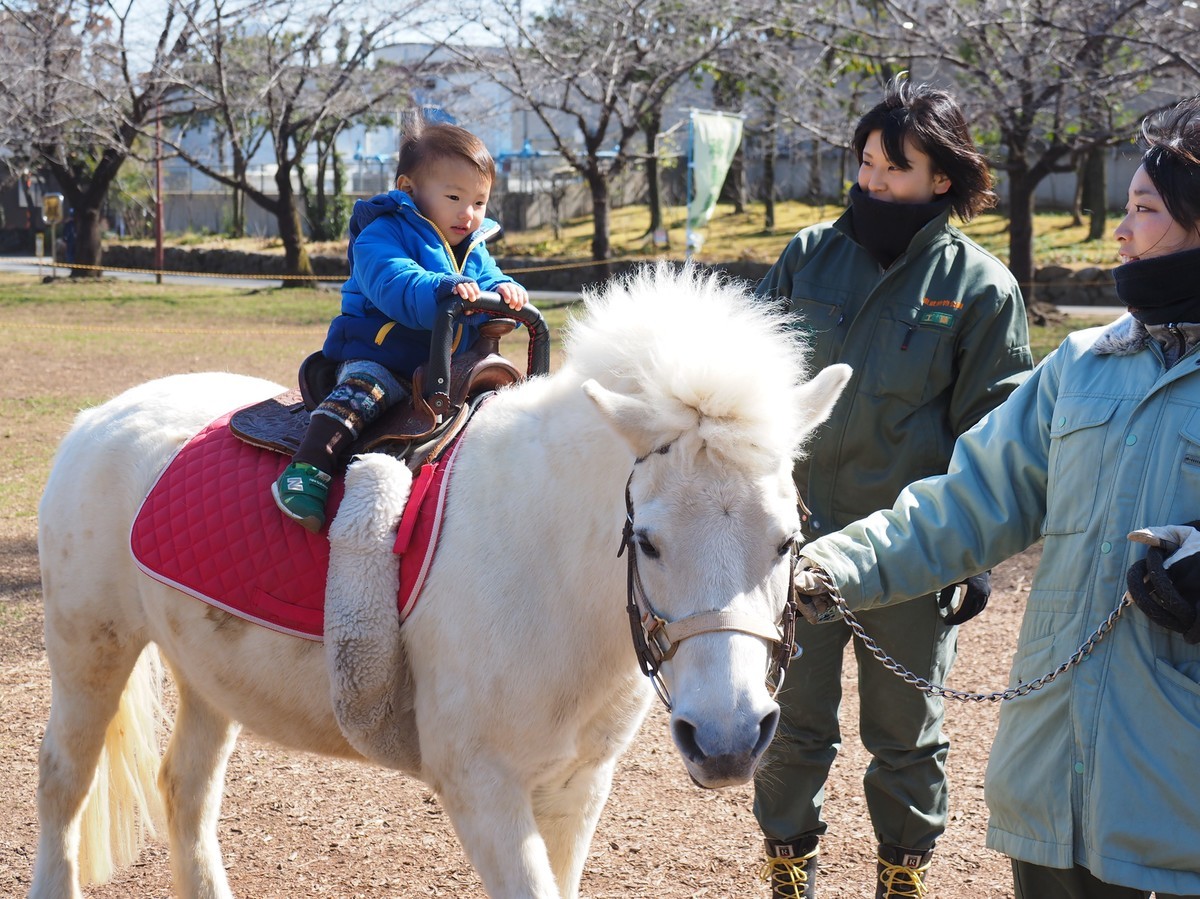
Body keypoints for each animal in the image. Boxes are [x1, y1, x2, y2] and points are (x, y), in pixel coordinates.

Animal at [32, 261, 849, 897]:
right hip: (90, 647)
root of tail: (98, 418)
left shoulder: (579, 785)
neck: (549, 567)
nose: (727, 737)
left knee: (186, 788)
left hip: (208, 670)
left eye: (788, 539)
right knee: (63, 780)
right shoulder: (481, 786)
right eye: (646, 541)